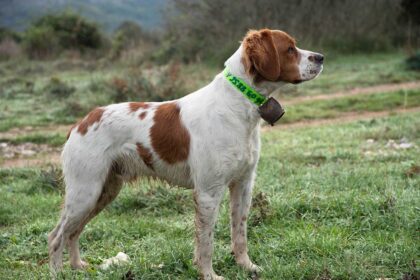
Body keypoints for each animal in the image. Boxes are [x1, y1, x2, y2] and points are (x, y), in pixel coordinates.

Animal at [49, 29, 324, 280]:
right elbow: (206, 241)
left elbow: (239, 233)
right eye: (289, 49)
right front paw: (209, 275)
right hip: (85, 192)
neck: (236, 105)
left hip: (104, 191)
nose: (321, 57)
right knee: (56, 235)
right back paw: (58, 272)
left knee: (72, 232)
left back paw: (78, 266)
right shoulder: (208, 191)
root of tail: (80, 123)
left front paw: (247, 267)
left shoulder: (243, 184)